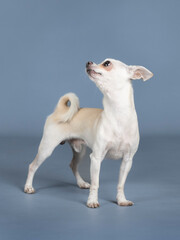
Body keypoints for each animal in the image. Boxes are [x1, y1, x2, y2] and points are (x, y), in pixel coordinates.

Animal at [24, 58, 153, 208]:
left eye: (107, 63)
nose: (88, 62)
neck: (118, 115)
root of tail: (59, 111)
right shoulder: (96, 158)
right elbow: (96, 183)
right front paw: (92, 201)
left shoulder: (127, 160)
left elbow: (121, 184)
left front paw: (121, 200)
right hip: (47, 148)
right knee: (32, 166)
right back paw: (28, 187)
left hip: (80, 151)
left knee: (73, 165)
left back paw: (81, 183)